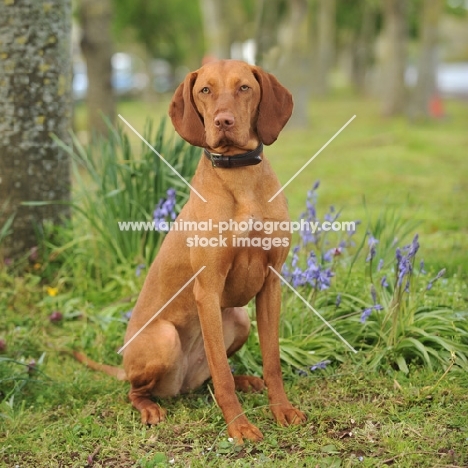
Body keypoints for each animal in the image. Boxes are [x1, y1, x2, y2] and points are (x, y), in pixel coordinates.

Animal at [75, 58, 306, 442]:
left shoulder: (272, 283)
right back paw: (150, 408)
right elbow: (222, 375)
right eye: (205, 90)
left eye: (244, 87)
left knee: (209, 378)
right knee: (139, 390)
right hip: (164, 339)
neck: (241, 179)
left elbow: (272, 360)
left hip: (239, 318)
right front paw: (239, 426)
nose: (223, 122)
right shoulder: (207, 289)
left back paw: (246, 380)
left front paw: (282, 410)